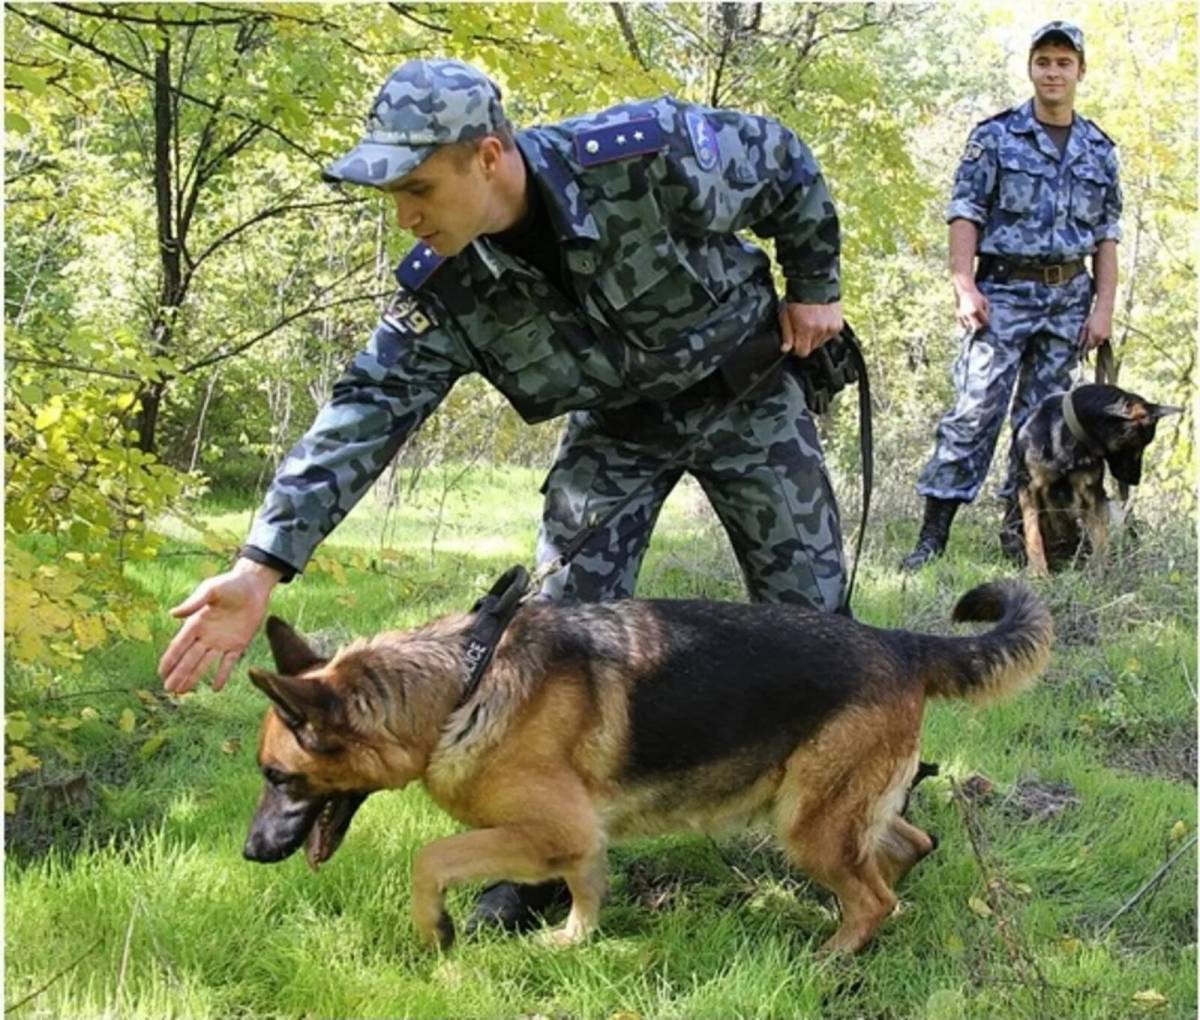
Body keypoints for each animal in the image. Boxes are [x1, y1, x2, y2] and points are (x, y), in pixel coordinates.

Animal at [241, 580, 1051, 955]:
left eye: (278, 778)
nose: (248, 853)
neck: (459, 686)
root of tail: (901, 642)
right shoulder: (576, 840)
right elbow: (584, 890)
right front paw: (573, 941)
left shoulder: (551, 831)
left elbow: (430, 857)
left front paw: (436, 929)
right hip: (837, 814)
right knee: (908, 849)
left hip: (806, 823)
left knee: (874, 895)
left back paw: (835, 955)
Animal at [1012, 381, 1180, 571]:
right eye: (1140, 444)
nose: (1135, 480)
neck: (1066, 434)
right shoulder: (1029, 490)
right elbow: (1034, 535)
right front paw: (1038, 572)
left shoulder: (1092, 493)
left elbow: (1101, 536)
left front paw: (1101, 571)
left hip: (1113, 508)